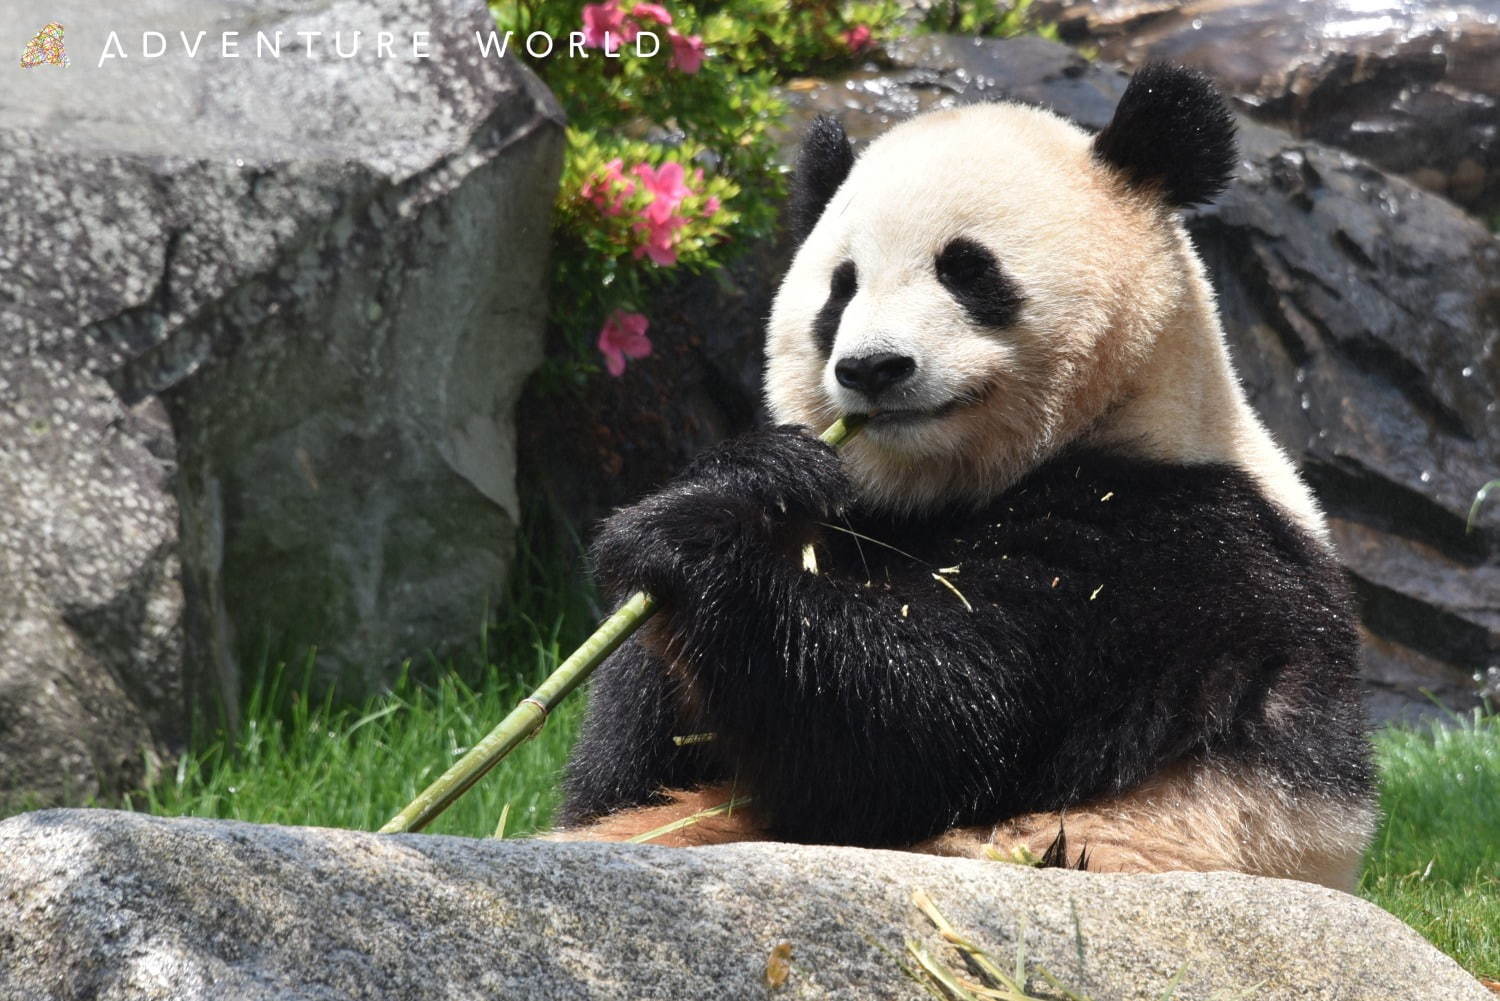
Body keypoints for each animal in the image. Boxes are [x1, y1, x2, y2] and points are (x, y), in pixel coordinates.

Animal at [549, 64, 1374, 894]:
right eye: (840, 287)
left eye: (967, 269)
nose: (872, 368)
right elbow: (626, 764)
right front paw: (754, 485)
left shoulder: (1165, 547)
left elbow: (926, 722)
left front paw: (698, 540)